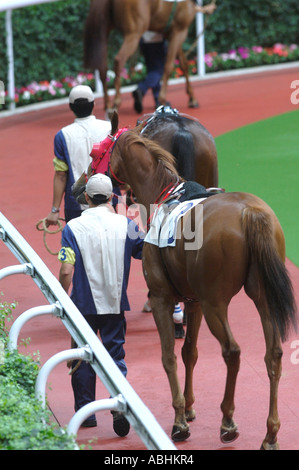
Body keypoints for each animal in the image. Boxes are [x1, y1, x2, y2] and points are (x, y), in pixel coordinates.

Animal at [94, 127, 298, 448]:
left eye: (99, 152)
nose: (81, 182)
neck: (165, 194)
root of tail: (251, 213)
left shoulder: (163, 298)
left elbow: (168, 356)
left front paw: (179, 419)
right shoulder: (194, 302)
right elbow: (190, 351)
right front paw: (189, 407)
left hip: (217, 304)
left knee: (232, 351)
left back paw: (228, 421)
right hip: (261, 296)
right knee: (273, 355)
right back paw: (271, 432)